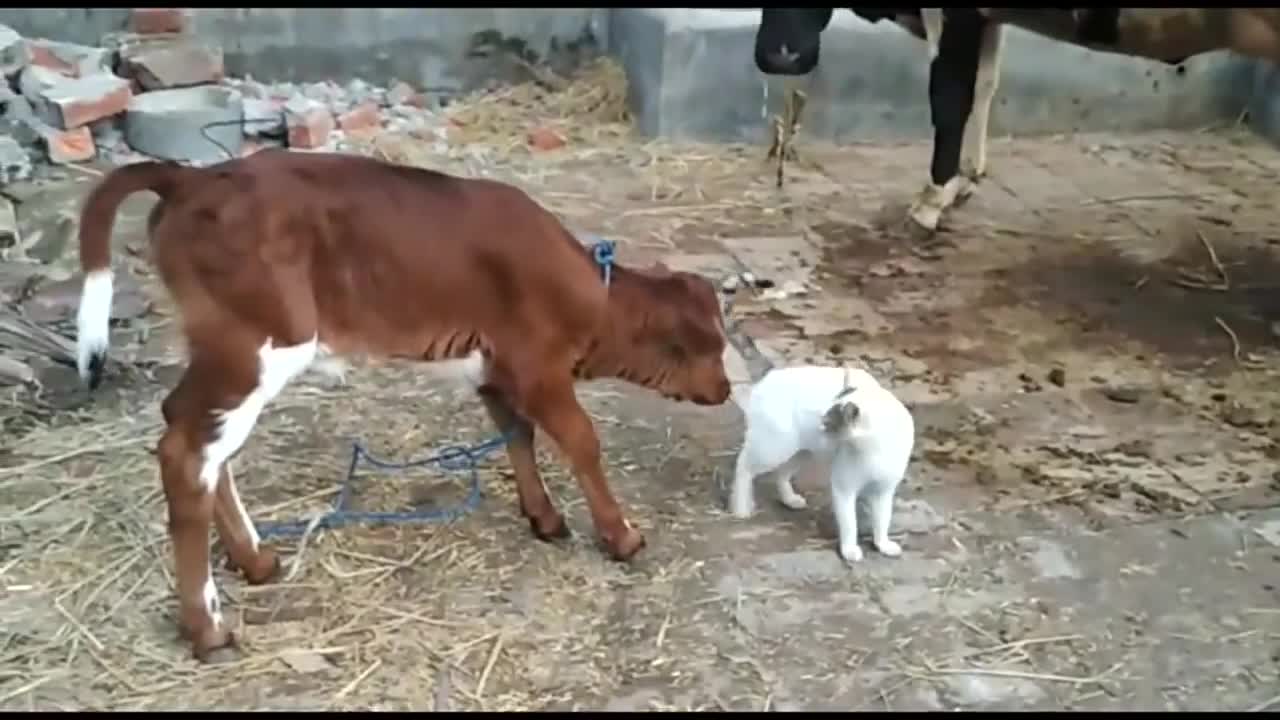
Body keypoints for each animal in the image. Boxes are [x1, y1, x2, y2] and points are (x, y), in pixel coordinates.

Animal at [74, 151, 737, 661]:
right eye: (713, 348)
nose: (727, 390)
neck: (593, 301)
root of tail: (193, 176)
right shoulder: (538, 367)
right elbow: (580, 440)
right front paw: (621, 536)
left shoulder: (496, 371)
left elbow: (517, 435)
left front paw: (544, 517)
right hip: (258, 344)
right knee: (188, 453)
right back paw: (209, 628)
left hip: (223, 350)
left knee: (198, 436)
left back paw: (256, 560)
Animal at [727, 363, 916, 561]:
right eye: (823, 419)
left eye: (827, 422)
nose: (818, 426)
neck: (873, 449)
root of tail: (769, 376)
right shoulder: (844, 487)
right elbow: (850, 523)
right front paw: (849, 549)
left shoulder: (883, 492)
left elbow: (882, 520)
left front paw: (882, 544)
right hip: (773, 449)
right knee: (743, 465)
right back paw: (741, 508)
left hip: (800, 452)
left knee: (781, 473)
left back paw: (789, 499)